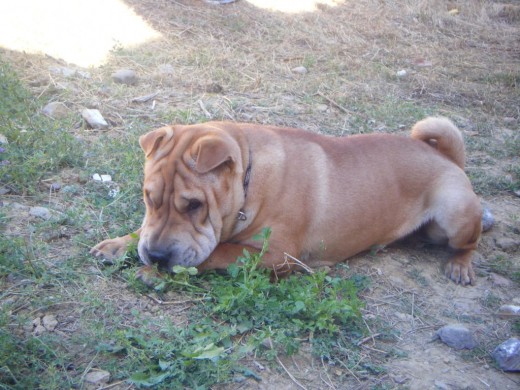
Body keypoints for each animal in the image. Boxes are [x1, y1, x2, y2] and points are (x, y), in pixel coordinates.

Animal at [90, 117, 484, 284]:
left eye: (194, 206)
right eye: (148, 197)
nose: (157, 255)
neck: (249, 182)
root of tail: (447, 157)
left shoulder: (276, 254)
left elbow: (219, 252)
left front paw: (150, 269)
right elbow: (142, 231)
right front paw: (119, 243)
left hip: (455, 211)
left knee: (470, 242)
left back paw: (460, 265)